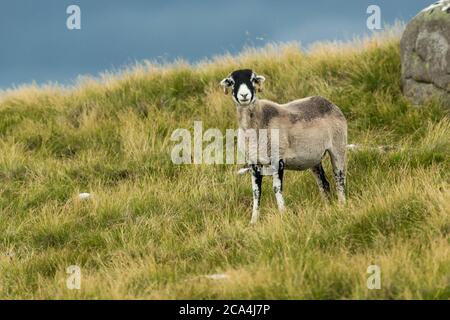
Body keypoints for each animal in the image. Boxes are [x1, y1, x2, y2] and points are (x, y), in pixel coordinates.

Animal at [221, 68, 348, 222]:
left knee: (339, 177)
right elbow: (256, 192)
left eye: (253, 79)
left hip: (338, 147)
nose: (244, 95)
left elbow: (277, 188)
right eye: (232, 82)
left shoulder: (278, 159)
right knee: (323, 183)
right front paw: (253, 220)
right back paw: (327, 207)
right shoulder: (253, 163)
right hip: (314, 159)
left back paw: (342, 205)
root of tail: (328, 102)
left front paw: (283, 214)